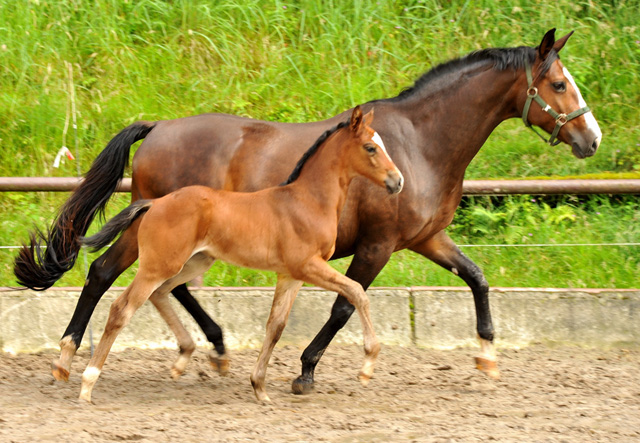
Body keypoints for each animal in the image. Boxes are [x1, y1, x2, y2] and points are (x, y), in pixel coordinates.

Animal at [77, 106, 402, 402]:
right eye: (371, 147)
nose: (397, 181)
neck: (306, 201)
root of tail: (154, 204)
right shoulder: (309, 265)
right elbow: (356, 292)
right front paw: (367, 366)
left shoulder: (290, 275)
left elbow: (275, 326)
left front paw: (260, 388)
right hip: (158, 265)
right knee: (122, 307)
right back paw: (87, 383)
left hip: (193, 262)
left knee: (161, 293)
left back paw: (182, 359)